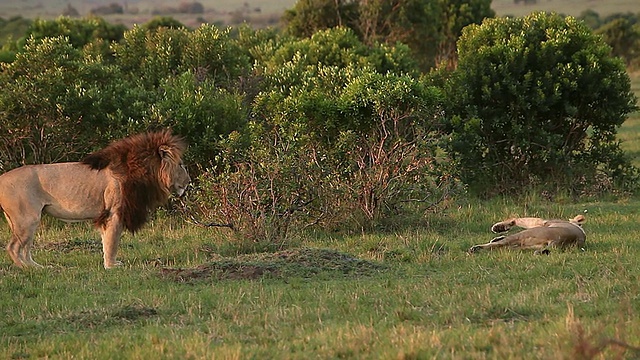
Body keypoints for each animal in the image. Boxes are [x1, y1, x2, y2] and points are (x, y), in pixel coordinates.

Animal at [0, 131, 190, 268]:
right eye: (180, 164)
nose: (189, 182)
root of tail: (2, 177)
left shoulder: (107, 215)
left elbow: (106, 241)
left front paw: (108, 263)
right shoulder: (114, 212)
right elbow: (112, 241)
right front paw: (112, 266)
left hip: (24, 222)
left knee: (25, 249)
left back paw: (38, 267)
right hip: (27, 219)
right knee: (13, 248)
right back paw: (26, 269)